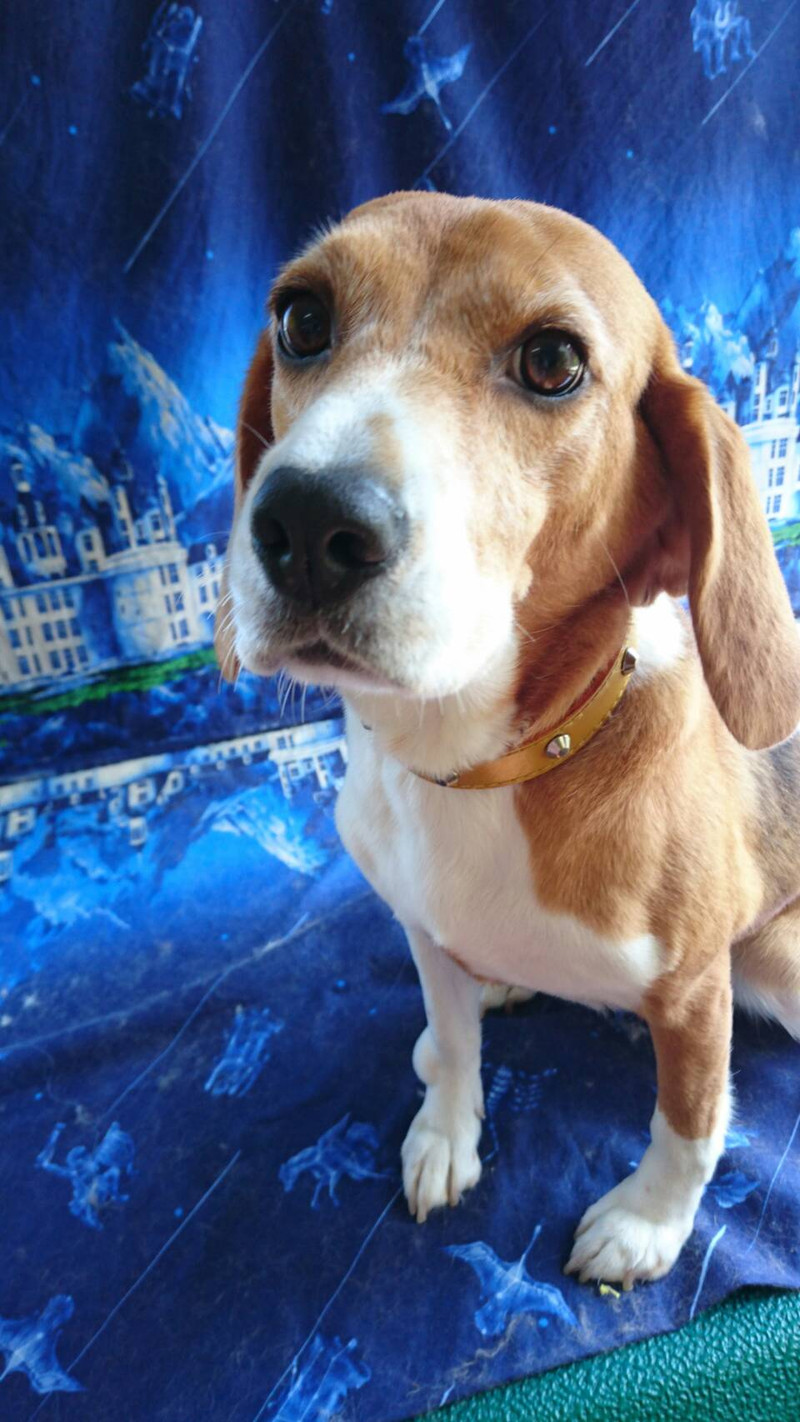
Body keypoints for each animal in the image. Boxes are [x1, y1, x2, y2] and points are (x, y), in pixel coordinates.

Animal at [215, 192, 800, 1288]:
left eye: (551, 361)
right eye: (302, 318)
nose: (308, 523)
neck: (474, 767)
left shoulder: (693, 991)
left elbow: (690, 1125)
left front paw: (646, 1224)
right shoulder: (420, 925)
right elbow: (449, 1046)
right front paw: (445, 1131)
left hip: (777, 957)